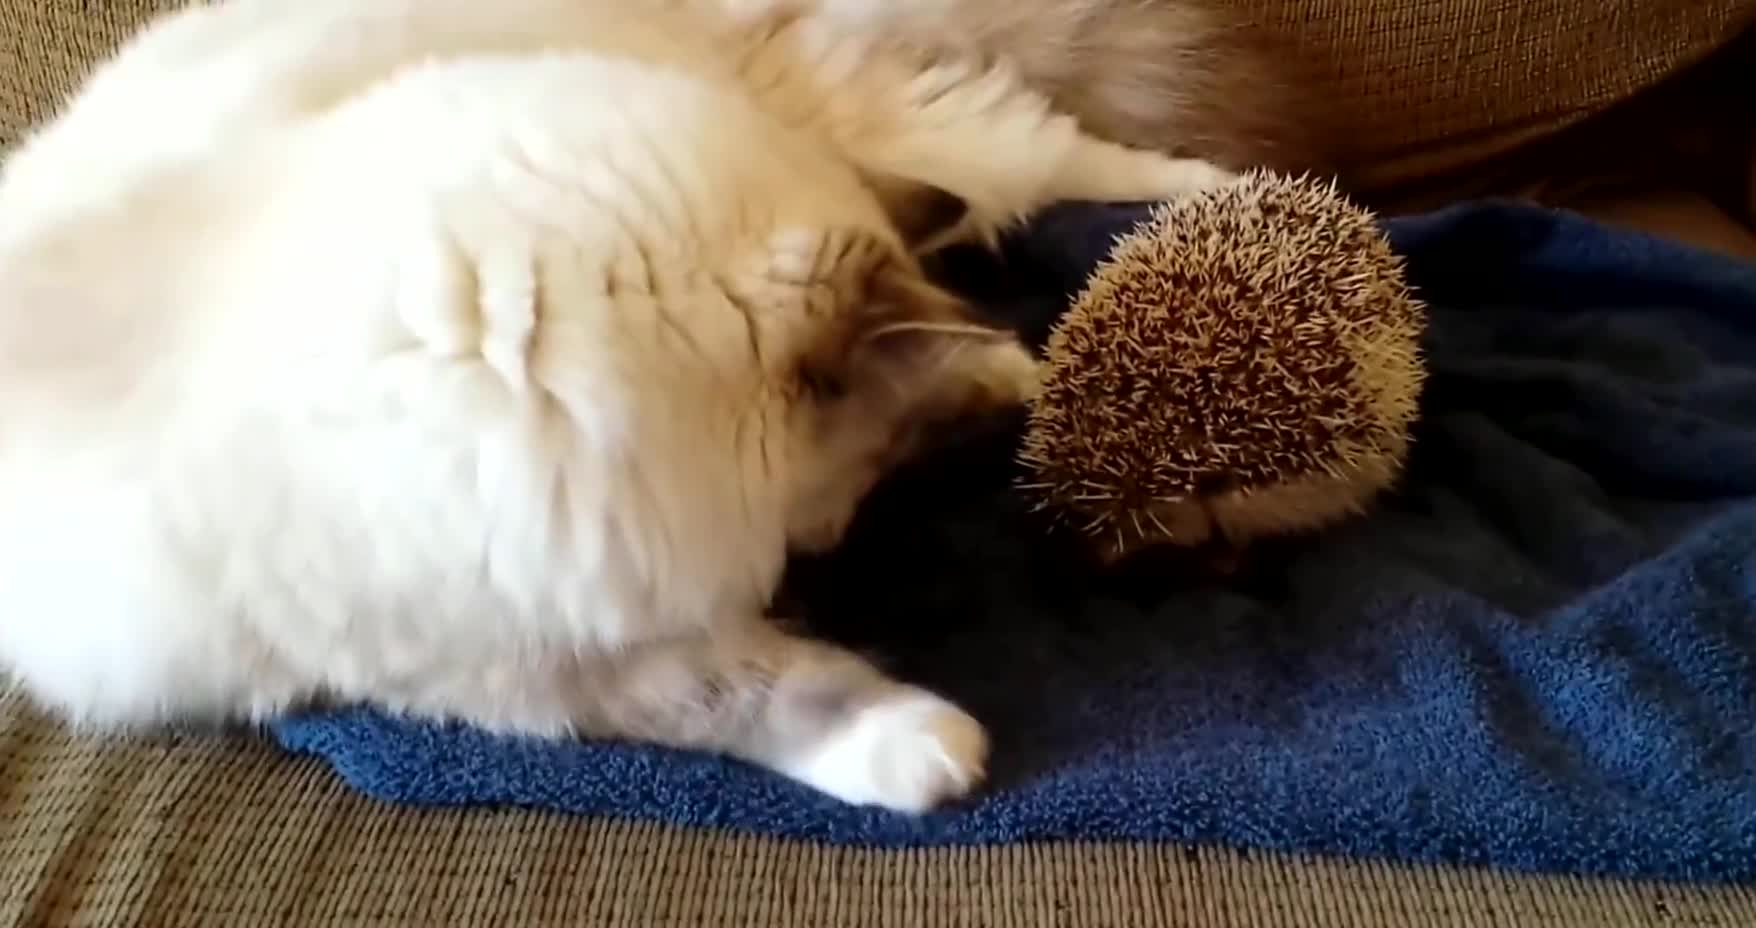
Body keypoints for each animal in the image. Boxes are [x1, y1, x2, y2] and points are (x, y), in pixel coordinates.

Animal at [0, 0, 1243, 812]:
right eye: (843, 499)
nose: (828, 543)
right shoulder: (497, 654)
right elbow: (734, 690)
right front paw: (920, 748)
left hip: (900, 128)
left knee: (1067, 157)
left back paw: (1230, 213)